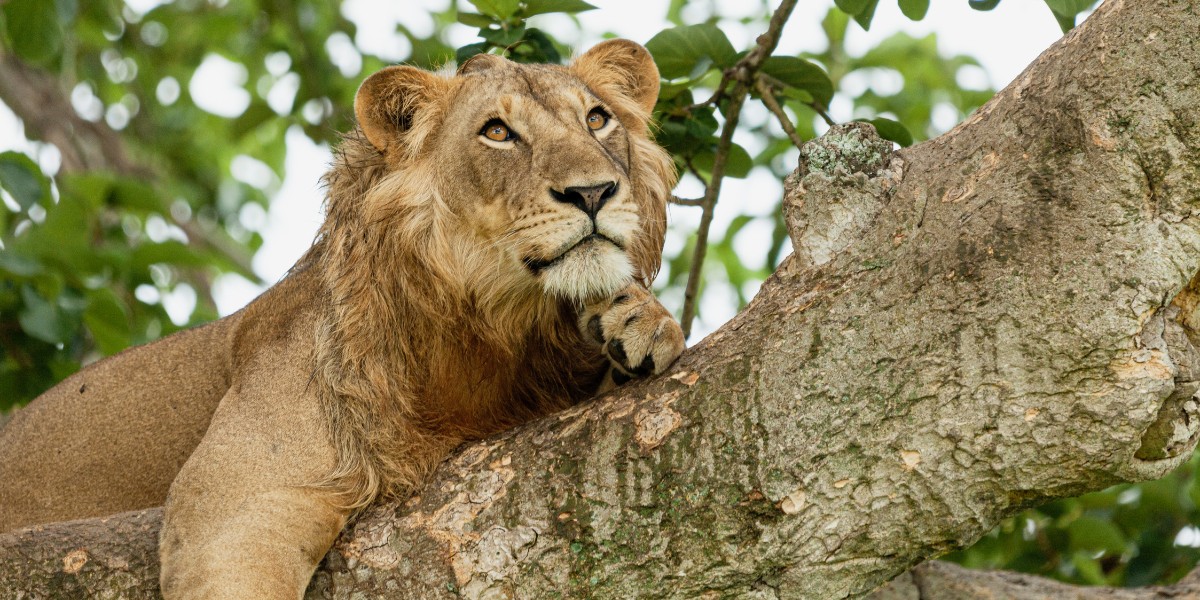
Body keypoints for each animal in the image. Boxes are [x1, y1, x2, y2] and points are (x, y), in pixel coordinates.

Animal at [0, 39, 686, 597]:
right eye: (496, 133)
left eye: (596, 119)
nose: (594, 192)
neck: (494, 331)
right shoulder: (234, 504)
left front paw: (639, 322)